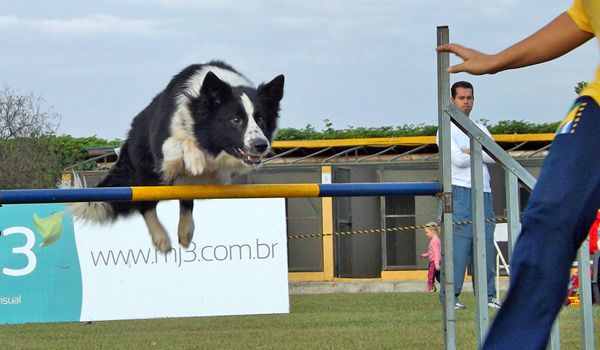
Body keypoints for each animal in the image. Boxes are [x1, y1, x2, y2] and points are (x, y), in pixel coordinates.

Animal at [69, 60, 284, 252]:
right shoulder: (163, 152)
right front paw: (195, 160)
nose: (261, 145)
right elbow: (183, 142)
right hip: (149, 178)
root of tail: (130, 135)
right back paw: (161, 238)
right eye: (236, 119)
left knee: (185, 200)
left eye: (261, 119)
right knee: (146, 205)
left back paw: (185, 231)